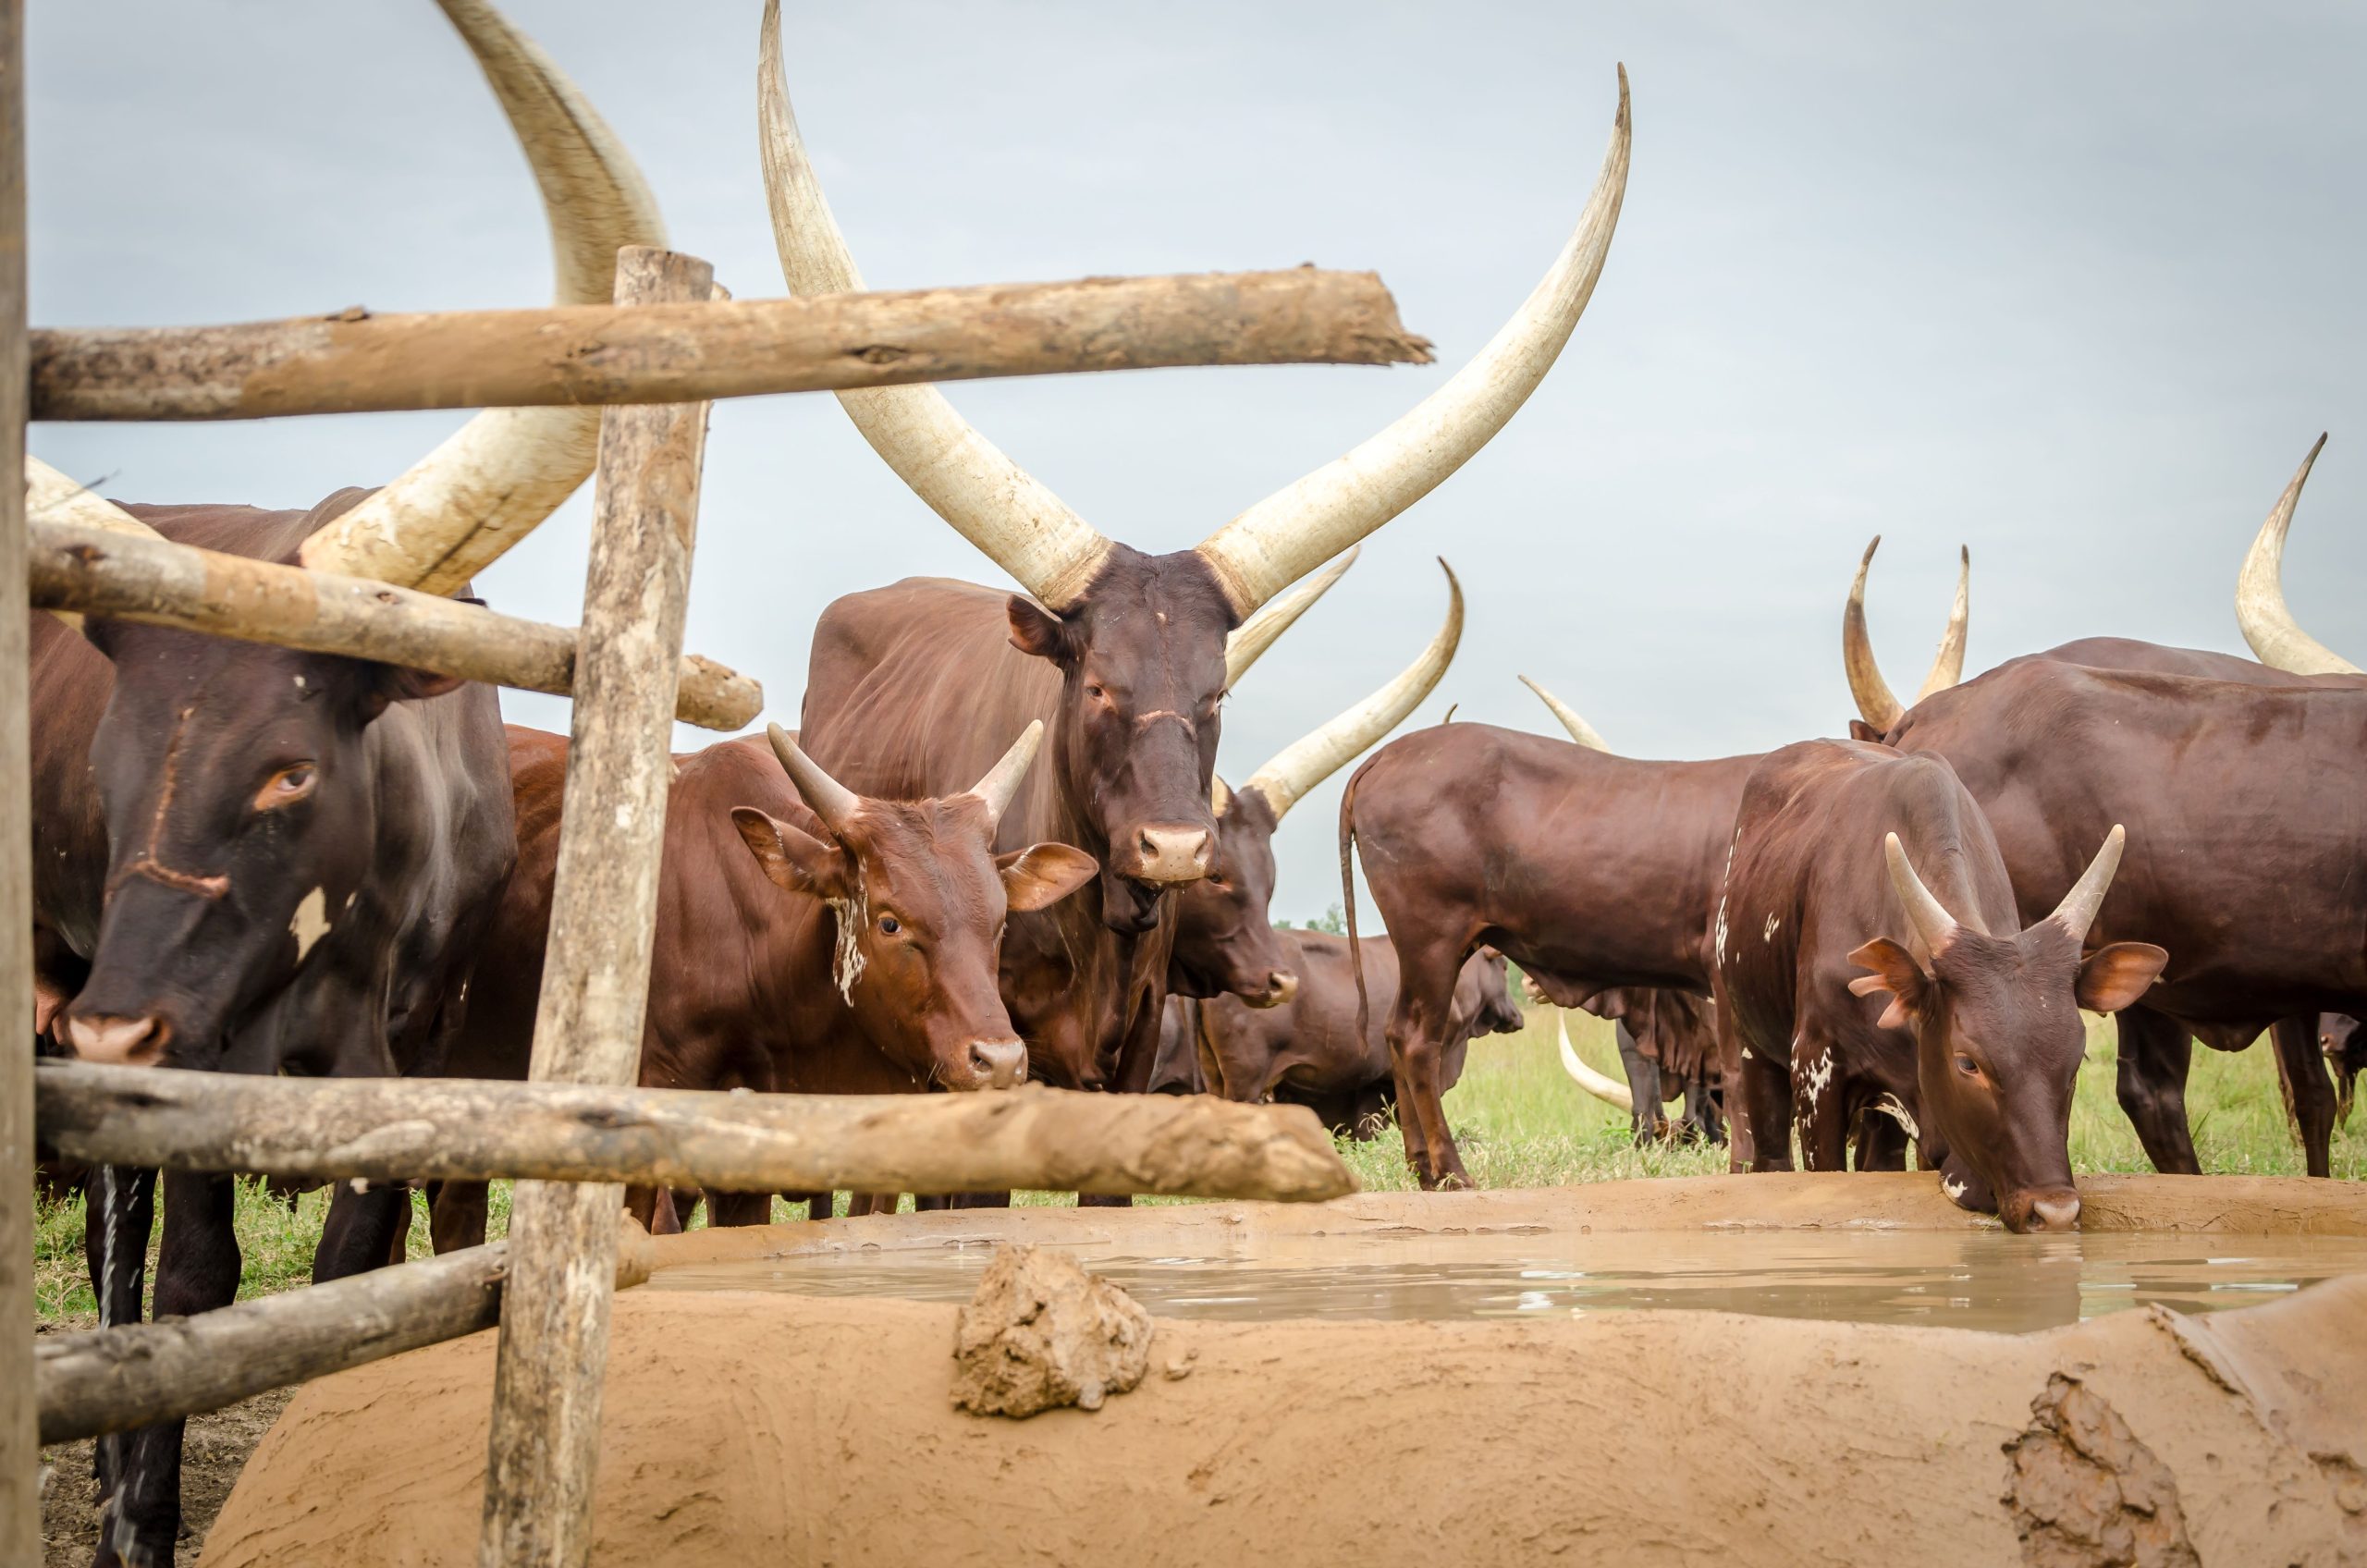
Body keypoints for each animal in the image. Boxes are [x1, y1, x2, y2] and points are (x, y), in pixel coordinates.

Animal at [30, 6, 667, 1562]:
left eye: (290, 770)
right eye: (108, 763)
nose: (117, 1027)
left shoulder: (413, 1064)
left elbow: (346, 1272)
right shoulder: (199, 1062)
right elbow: (196, 1282)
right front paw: (144, 1510)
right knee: (119, 1225)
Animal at [1704, 739, 2167, 1231]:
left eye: (2076, 1058)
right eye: (1967, 1063)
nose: (2055, 1211)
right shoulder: (1816, 1070)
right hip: (1753, 1045)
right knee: (1770, 1155)